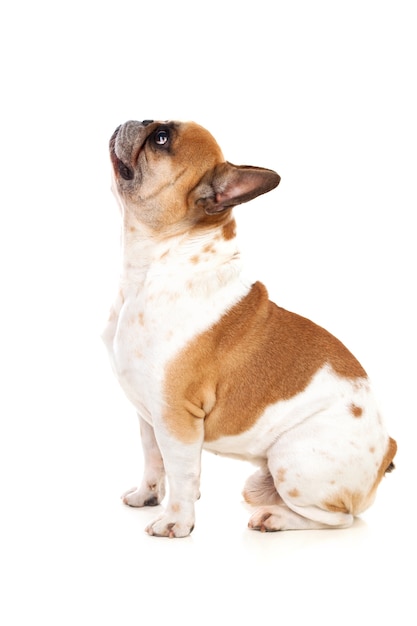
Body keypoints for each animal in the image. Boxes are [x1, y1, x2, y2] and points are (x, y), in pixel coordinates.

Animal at [102, 118, 394, 536]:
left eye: (161, 139)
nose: (140, 118)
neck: (156, 264)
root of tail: (388, 449)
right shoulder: (149, 416)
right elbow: (153, 460)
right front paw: (147, 495)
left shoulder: (176, 416)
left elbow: (182, 472)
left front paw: (176, 521)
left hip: (291, 460)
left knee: (338, 518)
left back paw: (275, 517)